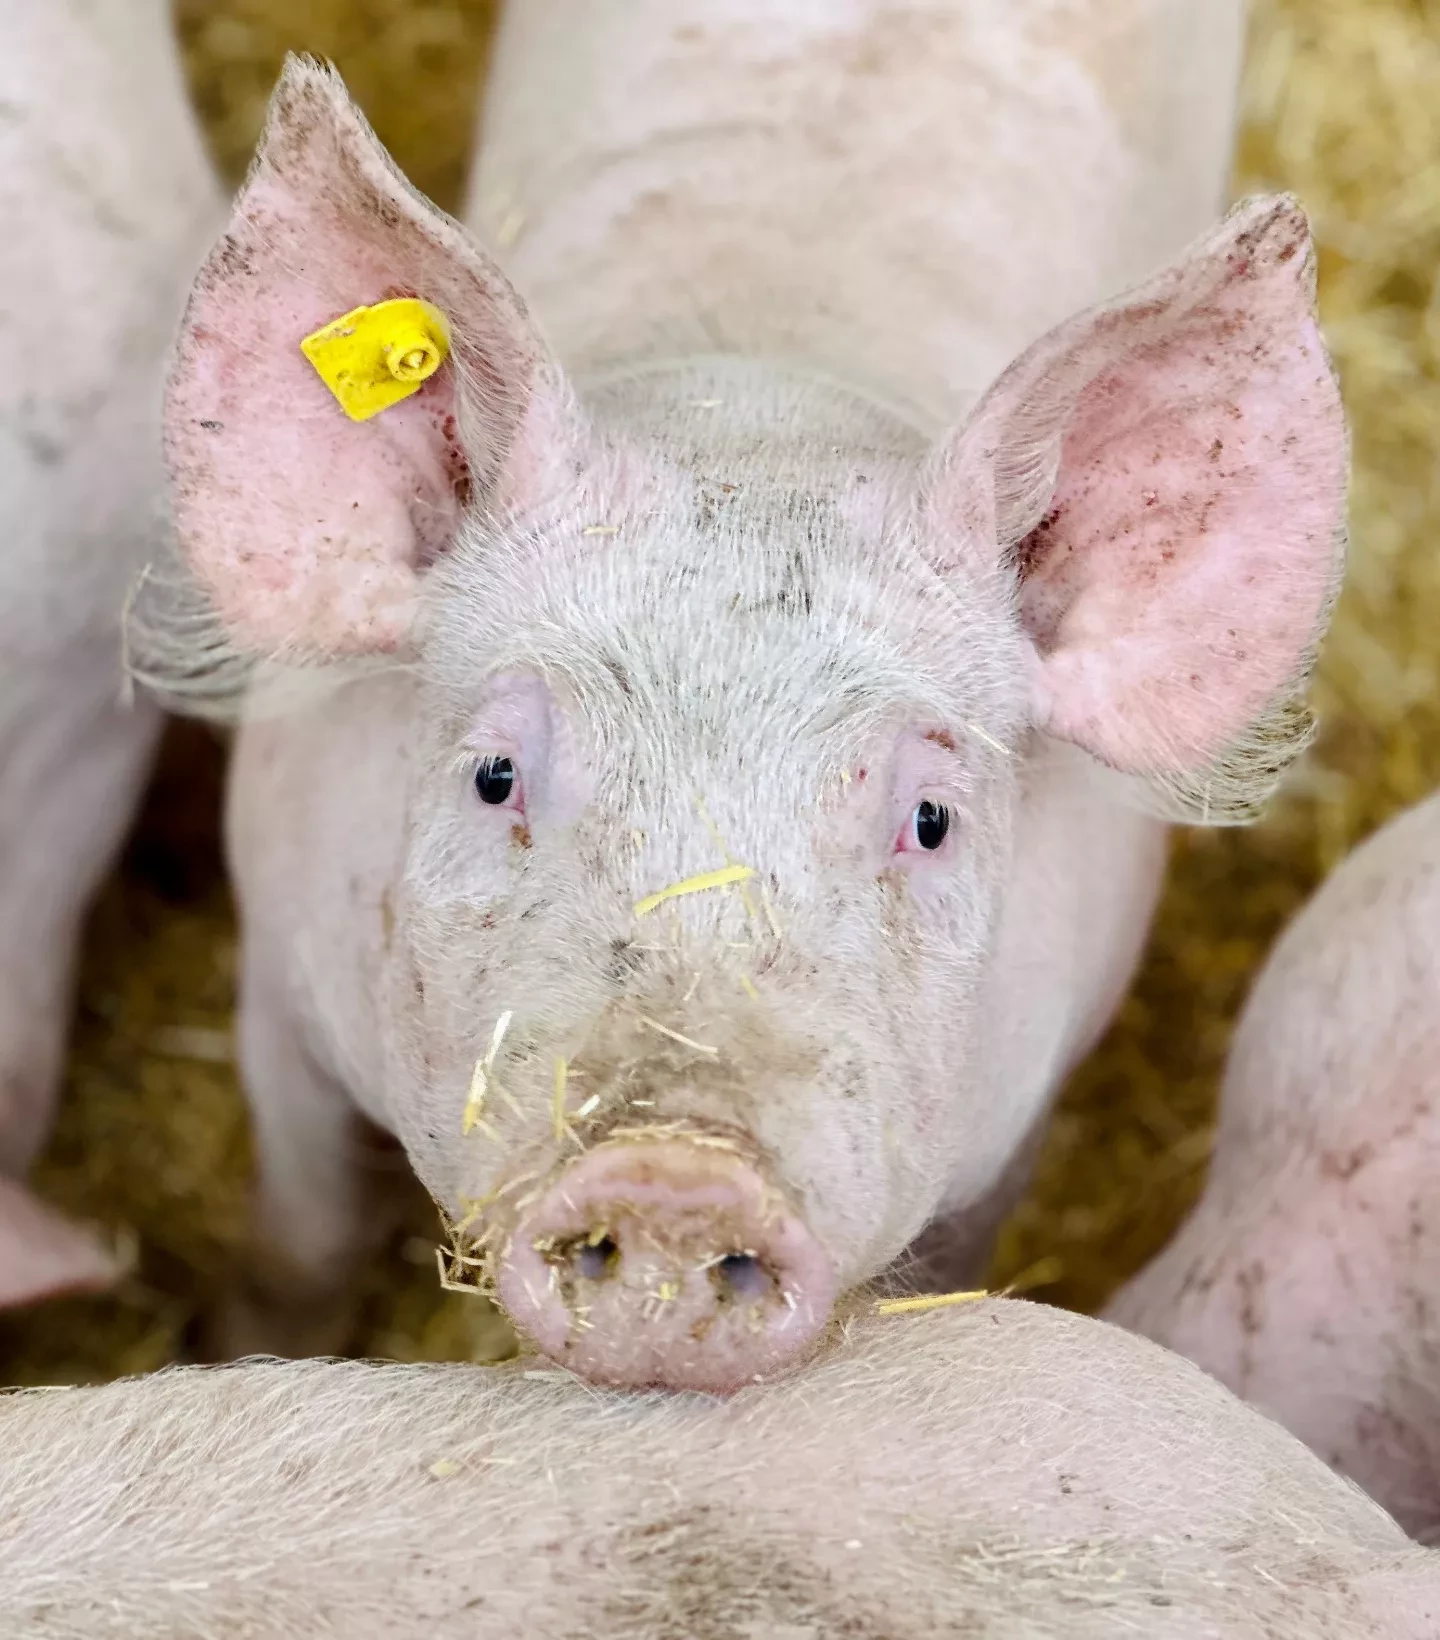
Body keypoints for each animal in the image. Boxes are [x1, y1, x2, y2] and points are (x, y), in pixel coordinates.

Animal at [137, 3, 1351, 1397]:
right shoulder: (279, 978)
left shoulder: (1020, 1115)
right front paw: (230, 1346)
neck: (765, 402)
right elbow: (309, 1230)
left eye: (930, 818)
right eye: (494, 775)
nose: (678, 1170)